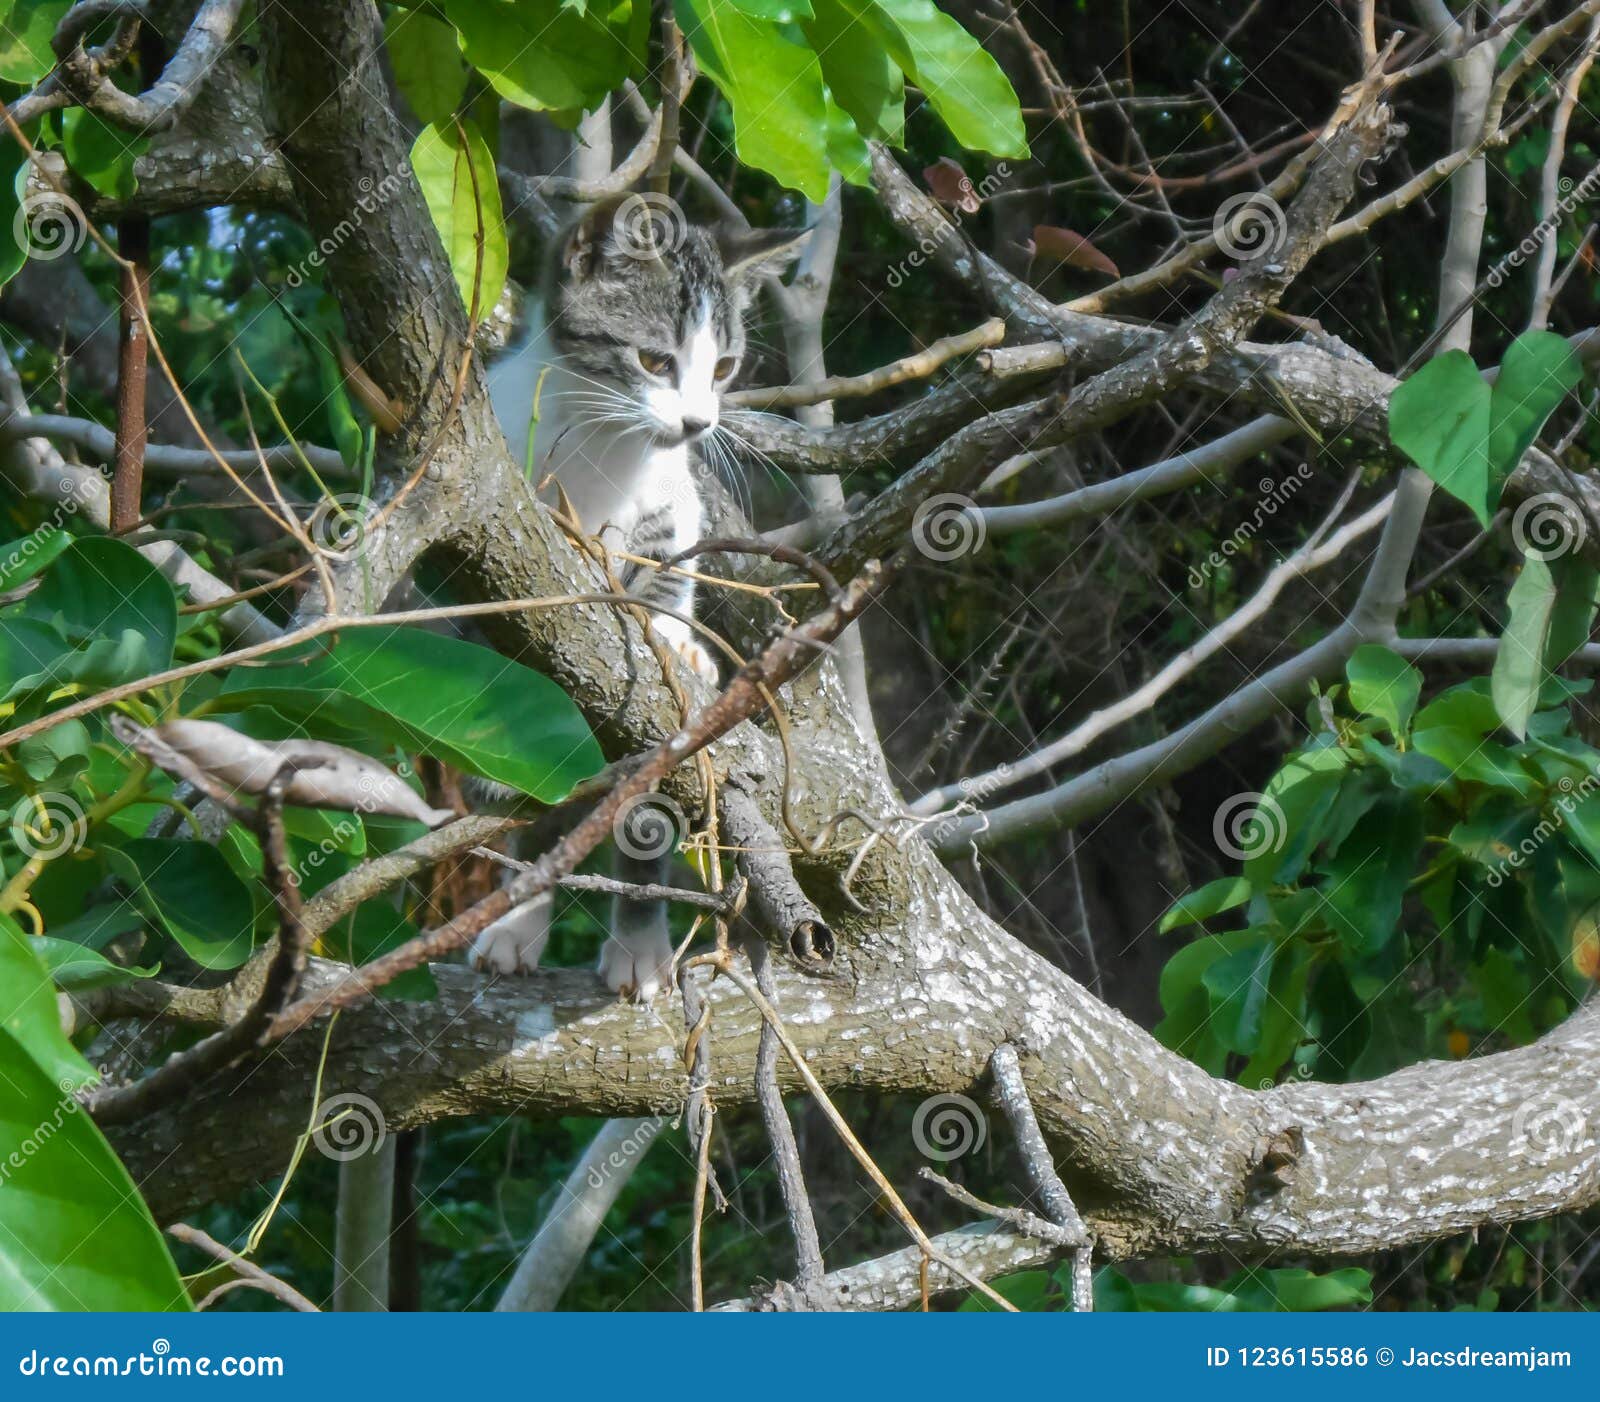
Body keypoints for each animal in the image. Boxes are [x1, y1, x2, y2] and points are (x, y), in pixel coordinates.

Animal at [467, 194, 806, 998]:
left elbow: (669, 575)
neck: (604, 442)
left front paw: (677, 638)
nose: (698, 423)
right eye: (655, 361)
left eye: (723, 367)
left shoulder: (673, 504)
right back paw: (514, 920)